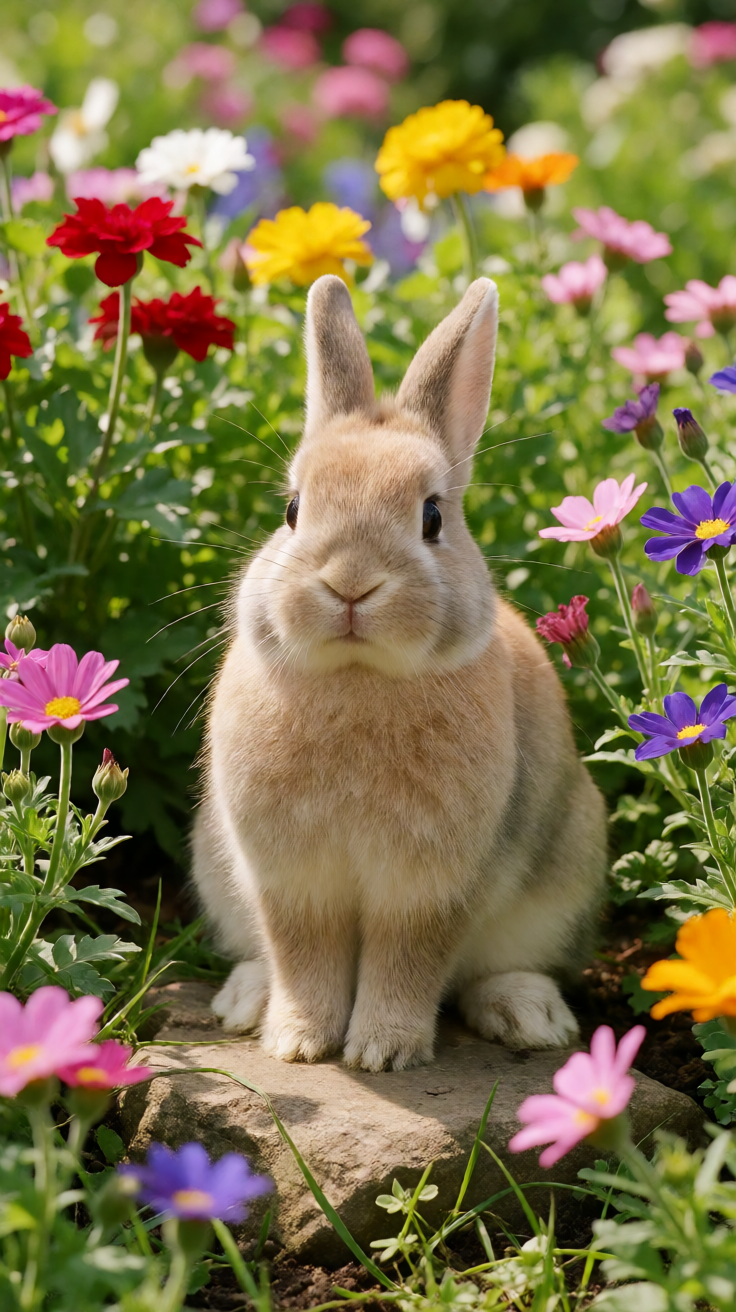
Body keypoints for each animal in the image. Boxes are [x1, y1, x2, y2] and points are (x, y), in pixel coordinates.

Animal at [191, 273, 607, 1072]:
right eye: (293, 510)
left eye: (432, 517)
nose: (350, 584)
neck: (359, 677)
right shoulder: (290, 879)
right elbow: (302, 954)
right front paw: (297, 1044)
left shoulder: (432, 885)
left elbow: (409, 960)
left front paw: (382, 1052)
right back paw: (244, 1002)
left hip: (565, 870)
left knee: (496, 970)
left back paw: (530, 1017)